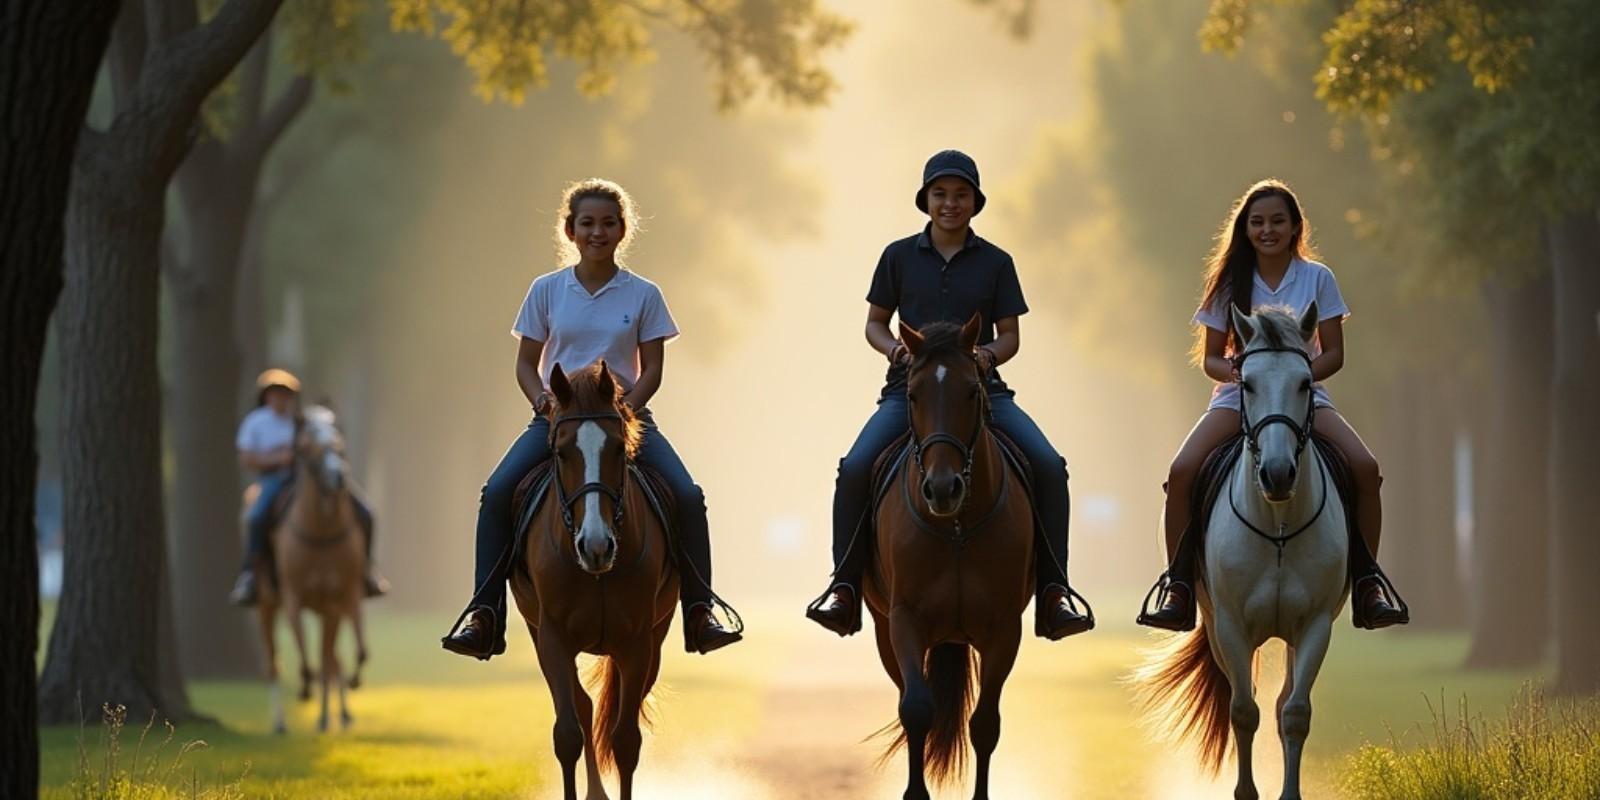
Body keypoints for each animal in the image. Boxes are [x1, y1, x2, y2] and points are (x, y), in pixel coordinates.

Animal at [254, 404, 370, 734]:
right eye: (307, 447)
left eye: (339, 442)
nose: (338, 476)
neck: (320, 534)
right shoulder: (293, 597)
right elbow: (307, 659)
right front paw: (305, 690)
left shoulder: (341, 598)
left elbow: (350, 654)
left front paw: (348, 691)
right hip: (266, 604)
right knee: (273, 662)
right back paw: (281, 722)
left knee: (332, 660)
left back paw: (334, 715)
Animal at [508, 361, 678, 800]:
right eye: (561, 452)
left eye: (619, 449)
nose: (596, 546)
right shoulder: (552, 637)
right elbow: (568, 734)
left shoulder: (637, 643)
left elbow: (625, 740)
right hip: (538, 633)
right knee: (583, 707)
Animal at [863, 315, 1038, 800]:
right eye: (912, 395)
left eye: (972, 392)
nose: (943, 489)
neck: (956, 527)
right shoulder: (904, 620)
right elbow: (917, 709)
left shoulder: (1005, 629)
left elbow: (984, 724)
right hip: (885, 631)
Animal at [1137, 304, 1348, 800]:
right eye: (1246, 383)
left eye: (1305, 382)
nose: (1277, 473)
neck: (1278, 526)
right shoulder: (1231, 626)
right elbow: (1243, 712)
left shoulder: (1316, 626)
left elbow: (1294, 712)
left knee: (1284, 701)